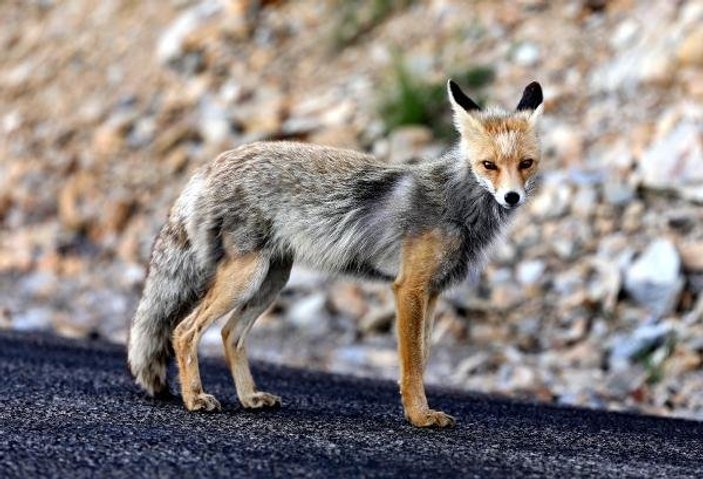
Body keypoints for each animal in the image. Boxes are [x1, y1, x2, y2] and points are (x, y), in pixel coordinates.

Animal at [126, 79, 544, 428]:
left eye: (526, 164)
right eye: (489, 165)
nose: (512, 197)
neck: (455, 205)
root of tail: (208, 167)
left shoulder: (433, 292)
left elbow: (422, 359)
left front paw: (419, 409)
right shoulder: (409, 288)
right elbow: (411, 365)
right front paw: (419, 417)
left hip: (270, 281)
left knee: (230, 334)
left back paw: (248, 397)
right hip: (244, 278)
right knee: (184, 331)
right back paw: (195, 398)